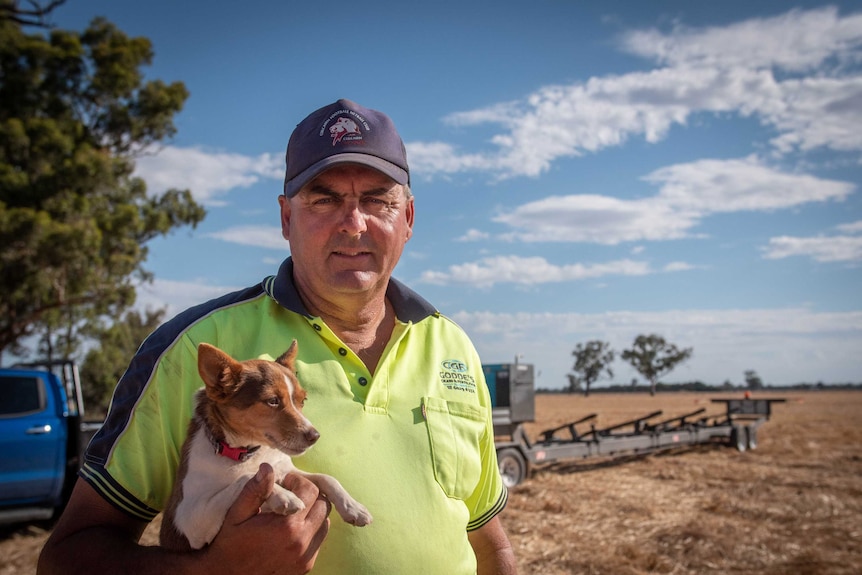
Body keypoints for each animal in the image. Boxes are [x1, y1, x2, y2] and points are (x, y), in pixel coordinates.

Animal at [159, 340, 372, 552]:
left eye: (302, 400)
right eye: (273, 401)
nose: (315, 436)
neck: (247, 453)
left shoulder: (284, 470)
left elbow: (327, 478)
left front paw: (353, 507)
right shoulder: (189, 519)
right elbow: (245, 477)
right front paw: (283, 496)